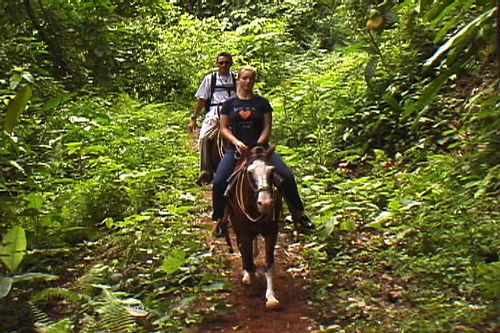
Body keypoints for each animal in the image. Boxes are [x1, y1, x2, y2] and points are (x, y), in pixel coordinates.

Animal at [225, 145, 284, 308]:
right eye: (249, 172)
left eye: (272, 170)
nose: (266, 203)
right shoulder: (243, 230)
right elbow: (246, 254)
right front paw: (249, 275)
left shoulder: (272, 231)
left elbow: (268, 262)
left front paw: (271, 297)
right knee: (242, 247)